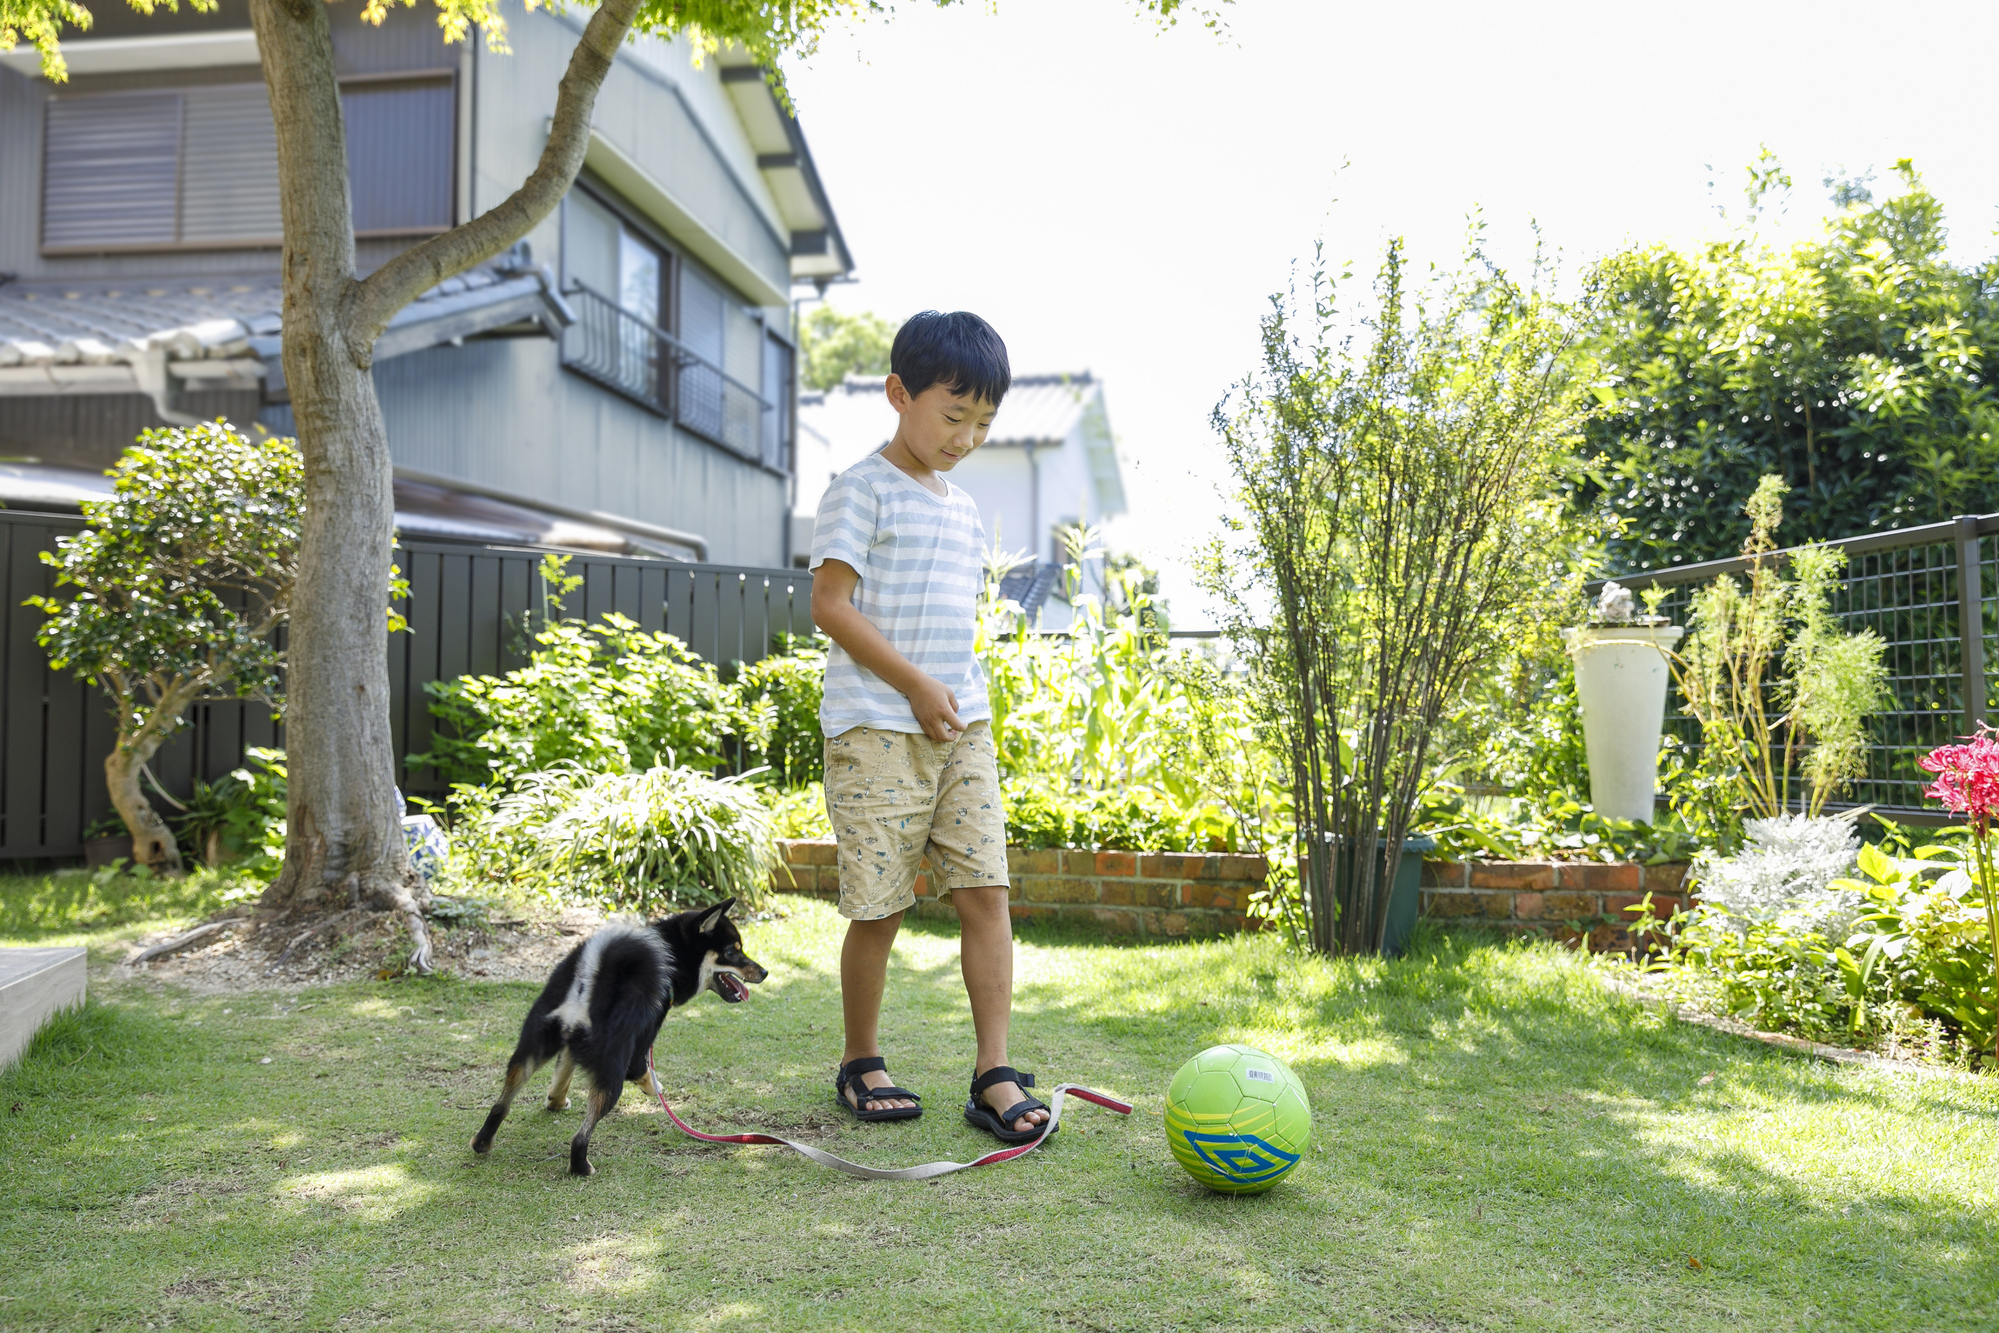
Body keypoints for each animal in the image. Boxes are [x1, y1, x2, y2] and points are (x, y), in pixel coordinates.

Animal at [471, 895, 767, 1175]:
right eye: (731, 952)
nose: (764, 972)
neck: (671, 956)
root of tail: (587, 986)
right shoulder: (640, 1045)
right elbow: (643, 1072)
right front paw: (655, 1088)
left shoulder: (569, 1048)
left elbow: (562, 1075)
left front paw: (556, 1102)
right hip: (611, 1074)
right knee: (580, 1137)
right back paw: (581, 1167)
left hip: (530, 1049)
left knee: (500, 1105)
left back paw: (482, 1142)